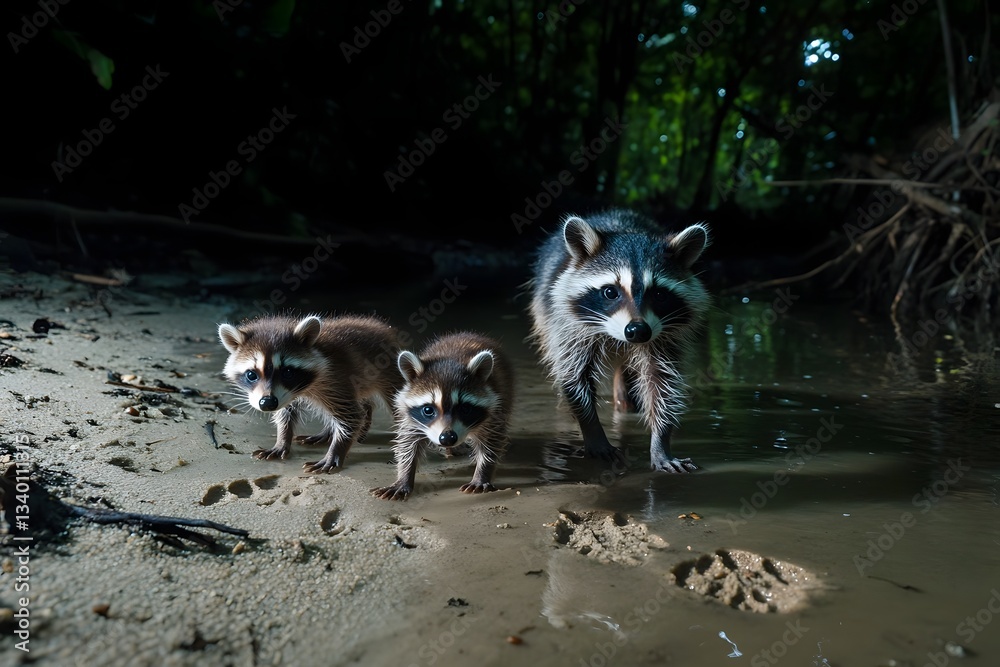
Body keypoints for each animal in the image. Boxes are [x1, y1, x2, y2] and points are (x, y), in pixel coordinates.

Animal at [217, 314, 403, 473]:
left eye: (288, 372)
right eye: (251, 375)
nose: (267, 403)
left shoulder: (336, 381)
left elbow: (351, 417)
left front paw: (336, 450)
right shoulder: (286, 396)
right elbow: (285, 413)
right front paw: (282, 439)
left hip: (388, 372)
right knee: (361, 403)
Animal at [371, 331, 515, 500]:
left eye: (465, 409)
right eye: (428, 410)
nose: (447, 438)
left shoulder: (494, 412)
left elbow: (491, 442)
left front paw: (482, 472)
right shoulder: (411, 417)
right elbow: (408, 443)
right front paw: (404, 476)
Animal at [527, 209, 710, 473]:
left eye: (659, 294)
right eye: (610, 292)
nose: (637, 330)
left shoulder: (665, 337)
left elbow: (662, 383)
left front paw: (661, 441)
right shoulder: (567, 328)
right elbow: (574, 378)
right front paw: (592, 431)